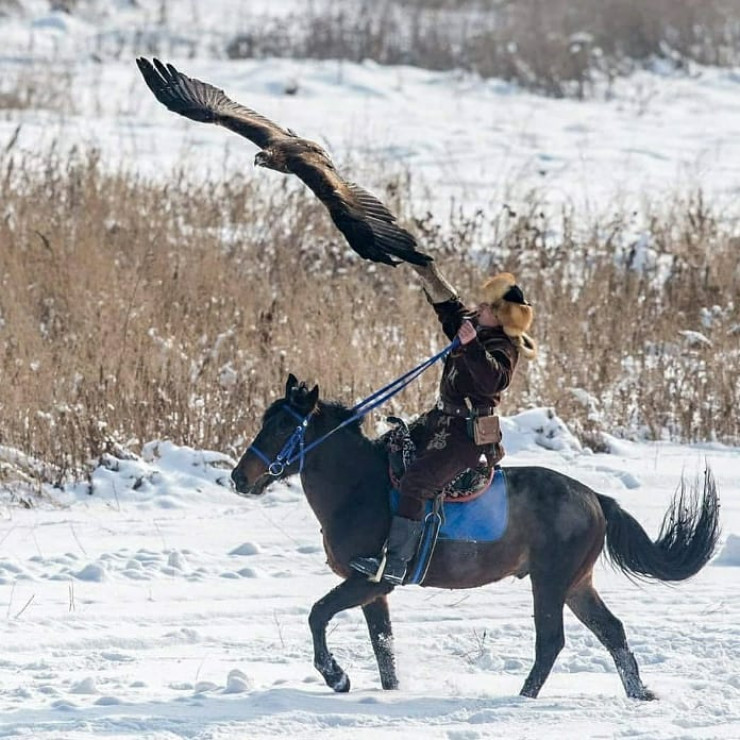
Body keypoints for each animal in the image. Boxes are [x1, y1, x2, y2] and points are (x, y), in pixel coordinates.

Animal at [231, 374, 720, 700]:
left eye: (282, 427)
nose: (239, 478)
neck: (358, 488)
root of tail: (595, 499)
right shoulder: (376, 590)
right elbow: (383, 646)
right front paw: (385, 691)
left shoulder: (367, 580)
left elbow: (317, 615)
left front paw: (337, 677)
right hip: (577, 584)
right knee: (612, 632)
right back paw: (638, 693)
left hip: (550, 582)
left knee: (551, 642)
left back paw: (523, 698)